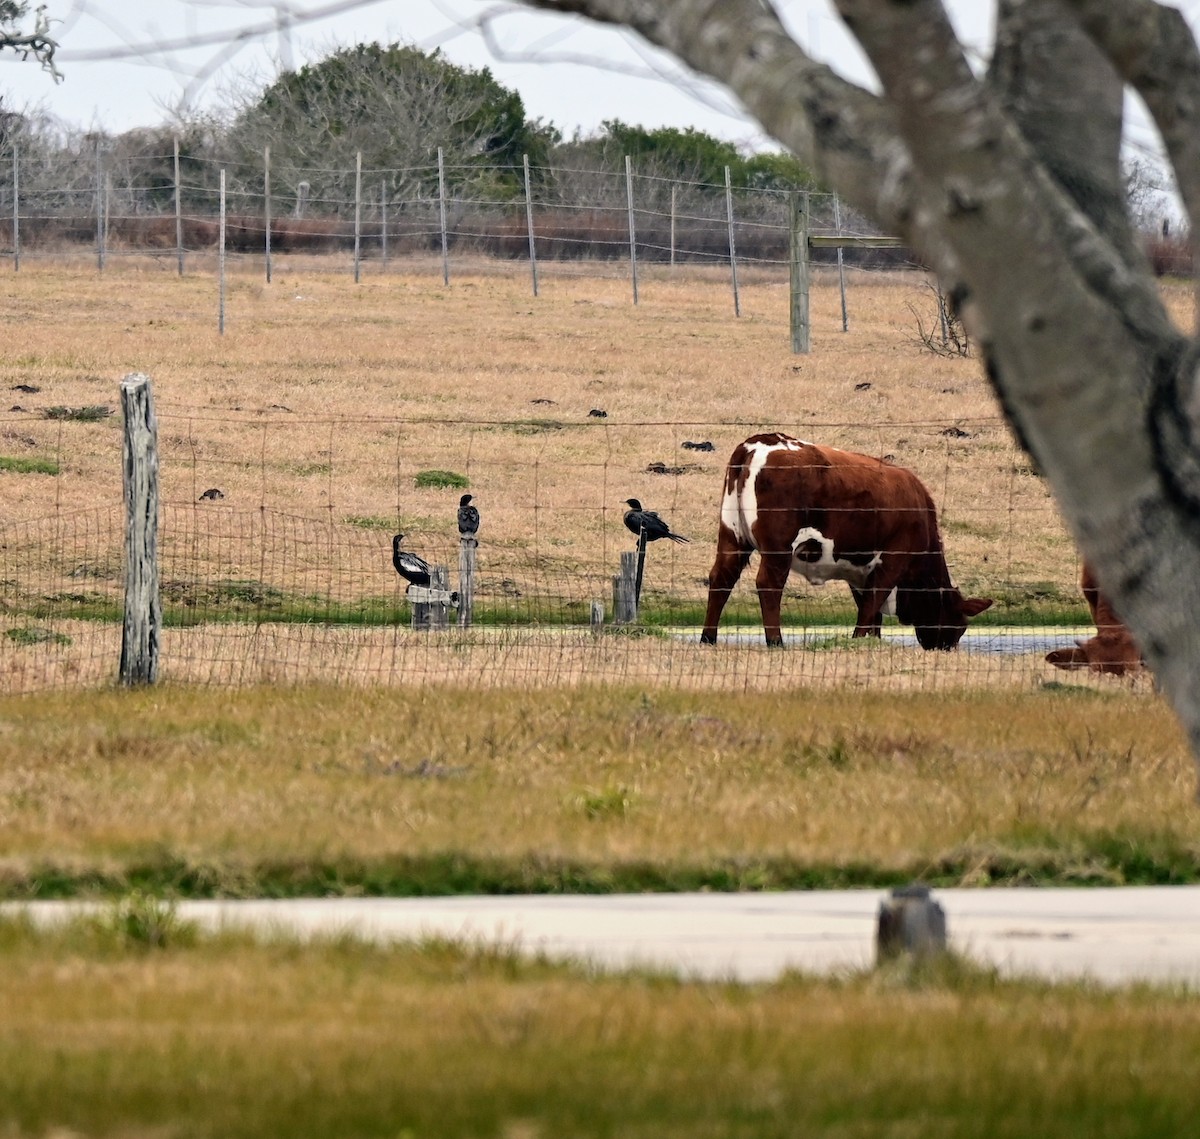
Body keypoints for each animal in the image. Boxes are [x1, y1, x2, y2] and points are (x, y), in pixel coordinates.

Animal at [700, 434, 988, 648]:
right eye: (959, 625)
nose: (946, 648)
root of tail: (758, 442)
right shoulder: (893, 561)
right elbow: (871, 605)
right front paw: (858, 639)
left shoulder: (860, 570)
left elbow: (871, 610)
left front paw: (871, 641)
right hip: (778, 550)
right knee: (768, 586)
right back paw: (775, 641)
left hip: (732, 536)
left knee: (721, 580)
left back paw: (708, 638)